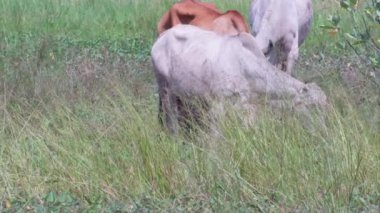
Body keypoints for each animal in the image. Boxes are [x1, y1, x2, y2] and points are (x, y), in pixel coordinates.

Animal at [151, 25, 326, 133]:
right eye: (314, 107)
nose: (324, 129)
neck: (245, 66)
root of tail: (162, 37)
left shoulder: (246, 106)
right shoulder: (217, 106)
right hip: (165, 89)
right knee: (170, 118)